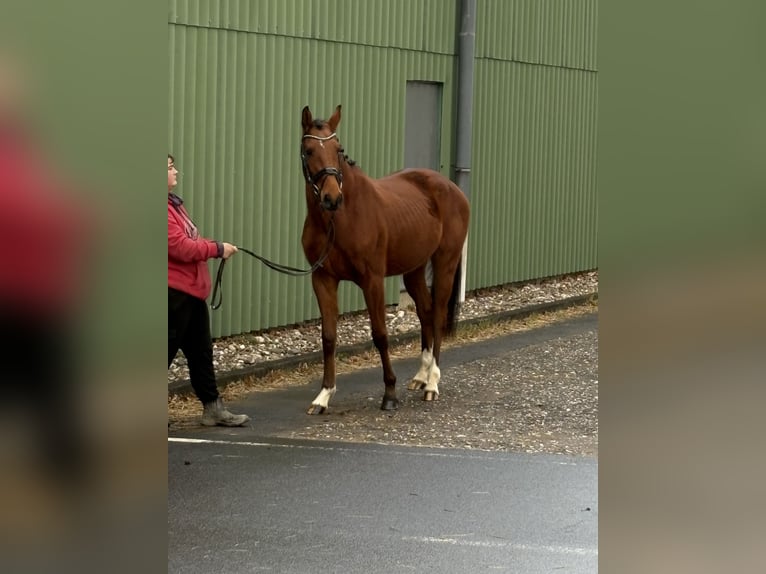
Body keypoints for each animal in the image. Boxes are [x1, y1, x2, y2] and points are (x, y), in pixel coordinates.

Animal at [302, 106, 472, 416]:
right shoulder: (322, 278)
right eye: (309, 151)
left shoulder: (372, 280)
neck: (339, 220)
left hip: (446, 262)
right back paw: (421, 376)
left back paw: (432, 383)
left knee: (438, 314)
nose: (332, 198)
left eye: (338, 149)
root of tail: (452, 188)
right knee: (426, 312)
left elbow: (380, 334)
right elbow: (328, 337)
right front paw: (323, 396)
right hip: (414, 269)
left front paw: (389, 393)